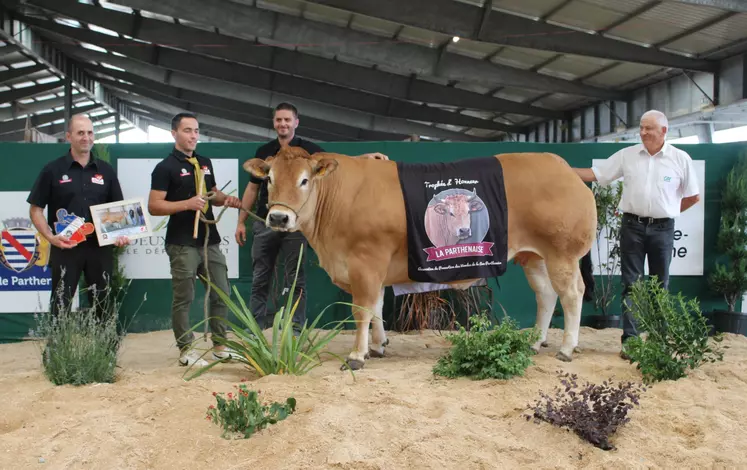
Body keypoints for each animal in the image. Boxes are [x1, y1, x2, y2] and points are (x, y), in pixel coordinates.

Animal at [245, 147, 596, 370]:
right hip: (533, 256)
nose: (278, 218)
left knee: (571, 294)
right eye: (269, 179)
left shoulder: (365, 261)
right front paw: (377, 346)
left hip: (562, 253)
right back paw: (535, 342)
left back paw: (567, 348)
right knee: (546, 295)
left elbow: (362, 309)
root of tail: (562, 166)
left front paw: (357, 355)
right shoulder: (372, 268)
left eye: (304, 180)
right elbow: (376, 308)